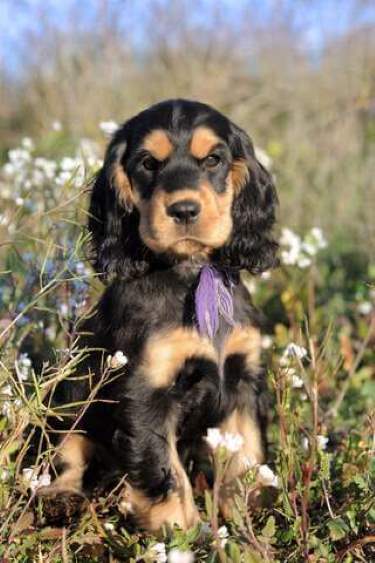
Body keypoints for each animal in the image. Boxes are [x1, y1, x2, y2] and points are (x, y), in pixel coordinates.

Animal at [41, 98, 280, 532]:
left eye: (213, 159)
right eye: (148, 163)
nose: (183, 210)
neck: (190, 273)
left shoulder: (243, 381)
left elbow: (247, 454)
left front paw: (254, 513)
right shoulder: (146, 391)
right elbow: (163, 471)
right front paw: (182, 533)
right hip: (66, 411)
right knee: (63, 460)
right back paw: (61, 499)